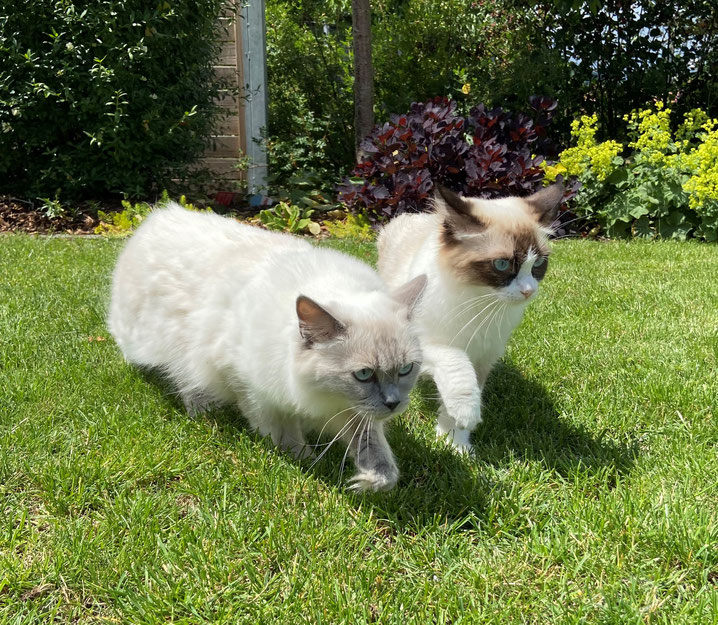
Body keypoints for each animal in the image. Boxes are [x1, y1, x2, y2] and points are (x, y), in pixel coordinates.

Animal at [109, 204, 428, 488]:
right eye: (364, 374)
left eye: (406, 370)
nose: (393, 403)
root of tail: (161, 214)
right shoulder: (248, 384)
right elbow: (282, 432)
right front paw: (306, 462)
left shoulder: (351, 409)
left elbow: (373, 446)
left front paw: (373, 480)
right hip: (163, 344)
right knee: (181, 378)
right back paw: (201, 411)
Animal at [380, 183, 564, 450]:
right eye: (502, 265)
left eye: (538, 263)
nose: (529, 291)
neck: (480, 302)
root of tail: (414, 215)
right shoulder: (430, 345)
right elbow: (456, 366)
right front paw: (467, 412)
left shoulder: (483, 356)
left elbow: (459, 407)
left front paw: (455, 444)